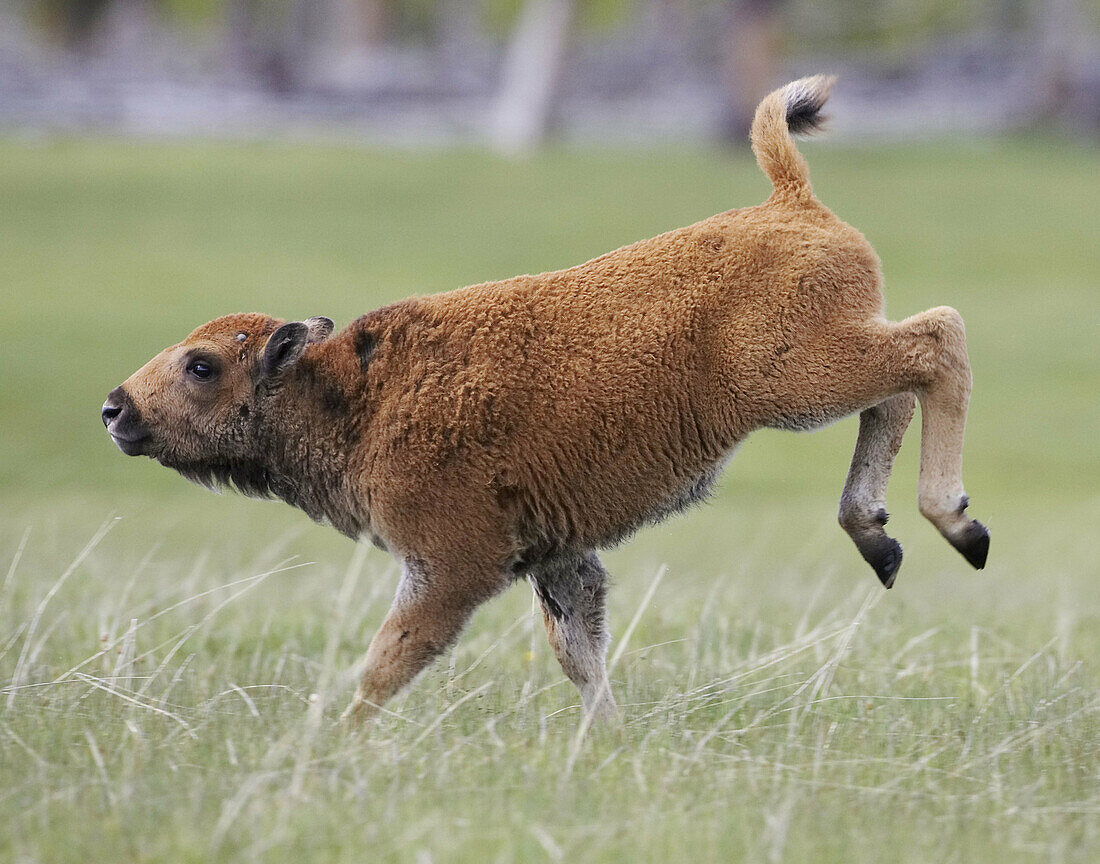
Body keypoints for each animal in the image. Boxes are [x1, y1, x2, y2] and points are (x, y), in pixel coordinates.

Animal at [105, 74, 990, 726]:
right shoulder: (557, 558)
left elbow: (387, 663)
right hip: (821, 370)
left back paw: (956, 523)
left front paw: (334, 743)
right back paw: (879, 538)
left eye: (201, 365)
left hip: (794, 381)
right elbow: (579, 653)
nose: (116, 409)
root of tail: (789, 202)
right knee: (900, 386)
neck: (354, 393)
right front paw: (608, 742)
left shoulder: (451, 566)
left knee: (937, 341)